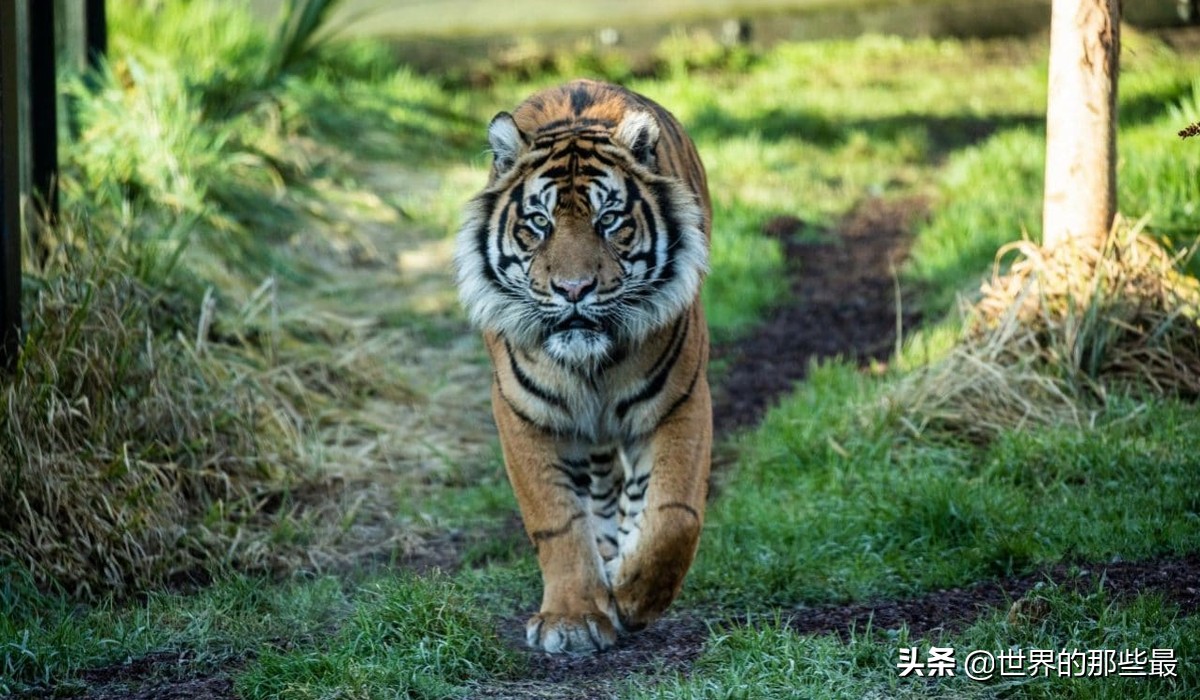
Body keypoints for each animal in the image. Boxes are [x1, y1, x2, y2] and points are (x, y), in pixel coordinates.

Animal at [454, 79, 713, 654]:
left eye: (608, 220)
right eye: (539, 223)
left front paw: (633, 596)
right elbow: (557, 520)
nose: (574, 290)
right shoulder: (524, 414)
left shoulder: (681, 401)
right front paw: (572, 619)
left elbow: (673, 517)